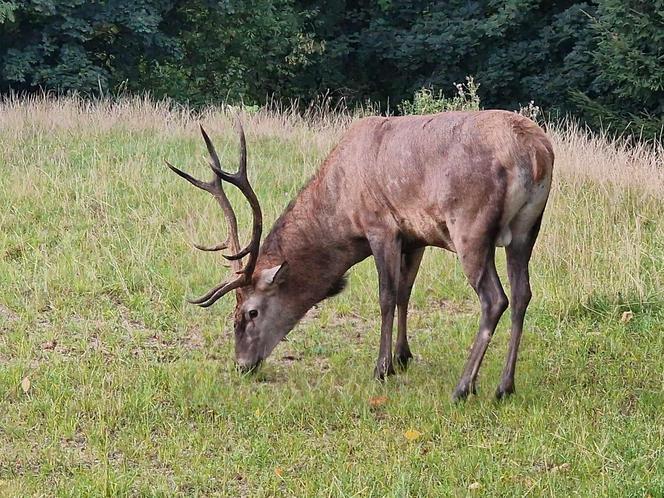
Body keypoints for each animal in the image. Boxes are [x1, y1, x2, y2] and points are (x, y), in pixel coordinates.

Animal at [169, 112, 552, 400]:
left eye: (251, 312)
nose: (242, 364)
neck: (340, 207)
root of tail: (536, 154)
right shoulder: (415, 236)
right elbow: (405, 293)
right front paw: (403, 356)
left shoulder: (380, 225)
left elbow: (386, 297)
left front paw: (382, 367)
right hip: (527, 230)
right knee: (522, 294)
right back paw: (505, 386)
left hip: (470, 226)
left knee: (495, 299)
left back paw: (464, 387)